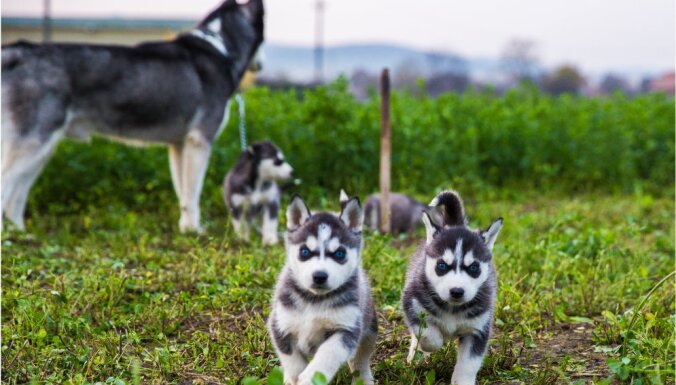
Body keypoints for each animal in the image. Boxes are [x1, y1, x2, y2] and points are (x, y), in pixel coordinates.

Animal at [0, 0, 264, 232]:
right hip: (32, 144)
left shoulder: (179, 145)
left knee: (16, 197)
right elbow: (192, 192)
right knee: (6, 188)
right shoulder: (199, 141)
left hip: (41, 151)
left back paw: (20, 232)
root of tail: (21, 50)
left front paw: (186, 229)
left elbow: (183, 192)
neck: (220, 46)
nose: (261, 65)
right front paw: (195, 230)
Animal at [268, 195, 374, 384]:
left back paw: (364, 378)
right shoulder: (279, 324)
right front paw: (295, 377)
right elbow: (292, 360)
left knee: (361, 359)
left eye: (339, 253)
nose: (319, 276)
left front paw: (310, 378)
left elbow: (328, 354)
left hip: (369, 332)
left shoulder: (347, 329)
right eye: (304, 251)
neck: (314, 300)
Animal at [402, 190, 502, 384]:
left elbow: (468, 365)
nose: (457, 291)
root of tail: (455, 223)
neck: (452, 308)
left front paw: (462, 381)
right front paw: (432, 344)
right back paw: (416, 355)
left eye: (474, 267)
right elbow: (428, 334)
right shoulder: (412, 303)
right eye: (442, 265)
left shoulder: (477, 329)